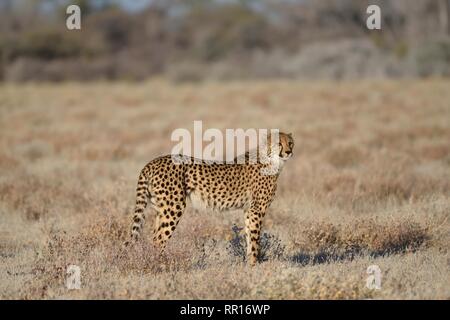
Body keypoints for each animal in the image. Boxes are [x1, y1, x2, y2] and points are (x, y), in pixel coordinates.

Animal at [126, 132, 296, 264]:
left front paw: (249, 264)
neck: (271, 159)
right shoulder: (256, 210)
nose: (288, 152)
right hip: (174, 207)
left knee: (153, 236)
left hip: (160, 209)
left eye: (290, 143)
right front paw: (255, 266)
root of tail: (153, 161)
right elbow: (255, 239)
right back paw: (161, 264)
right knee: (159, 239)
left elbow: (249, 237)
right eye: (278, 143)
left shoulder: (248, 210)